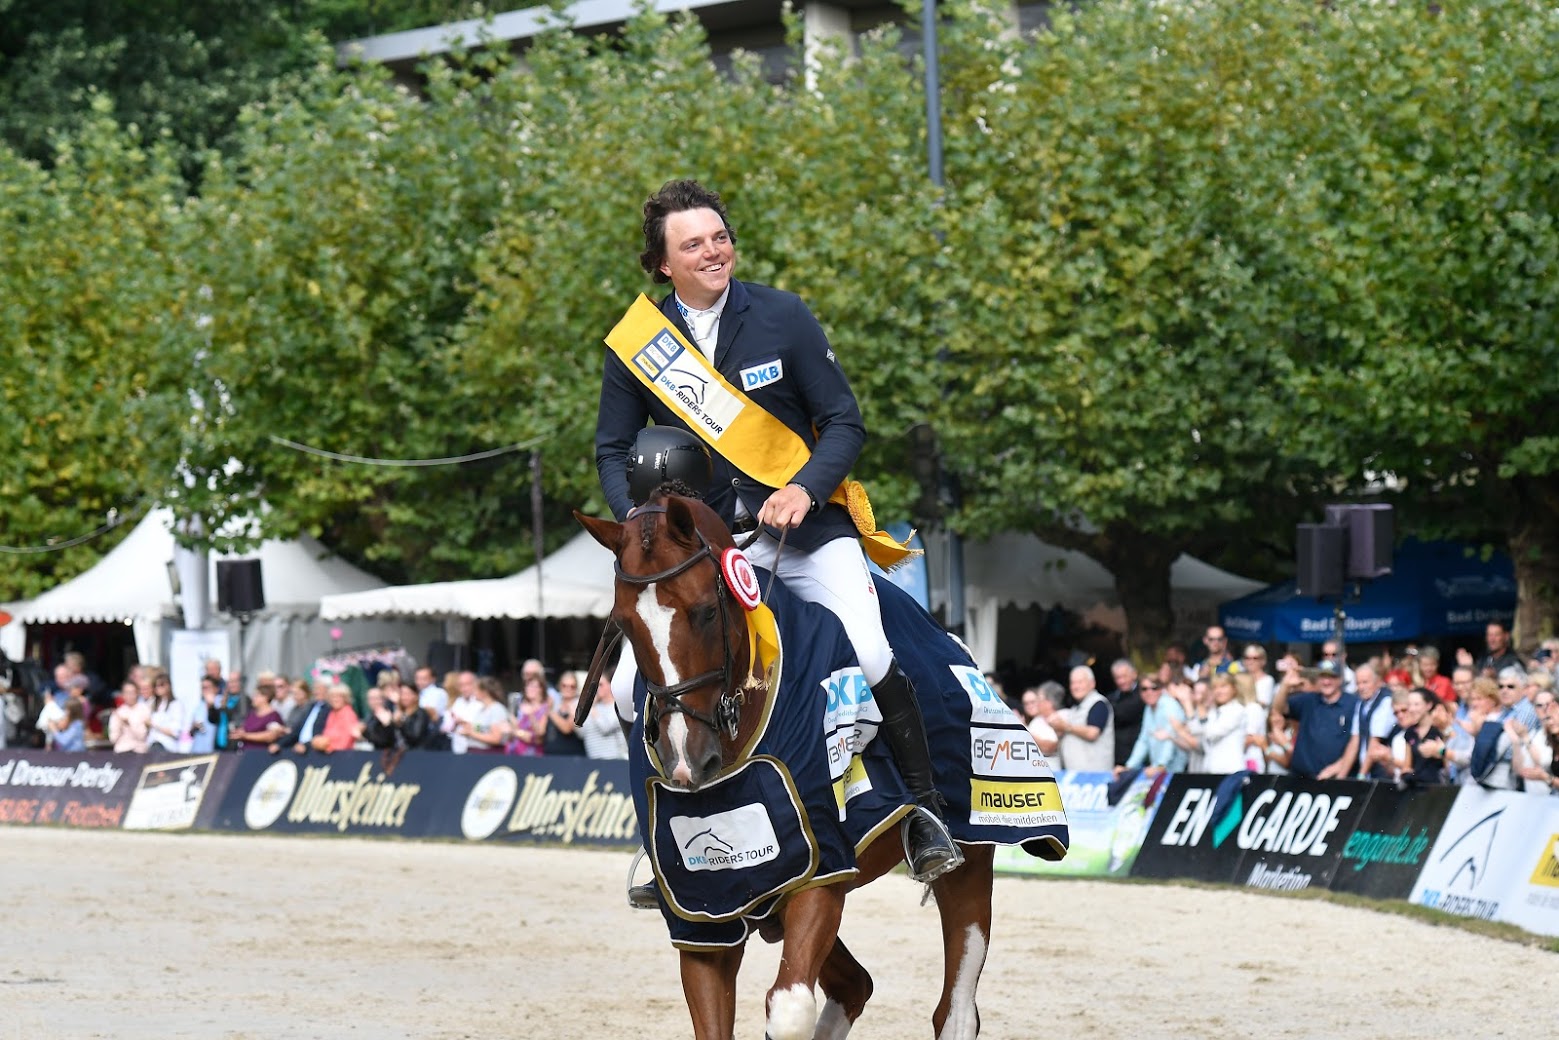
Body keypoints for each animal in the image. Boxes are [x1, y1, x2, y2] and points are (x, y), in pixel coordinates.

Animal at [576, 489, 997, 1040]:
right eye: (624, 625)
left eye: (706, 612)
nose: (688, 763)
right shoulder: (707, 912)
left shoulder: (823, 870)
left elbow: (791, 1007)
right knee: (855, 985)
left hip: (971, 858)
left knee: (956, 1007)